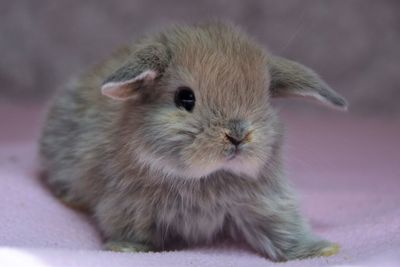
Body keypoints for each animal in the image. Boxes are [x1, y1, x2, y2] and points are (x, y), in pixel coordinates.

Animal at [40, 22, 346, 262]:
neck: (205, 177)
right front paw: (125, 249)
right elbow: (132, 230)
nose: (237, 135)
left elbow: (283, 229)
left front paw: (321, 250)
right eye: (185, 98)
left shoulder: (266, 204)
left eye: (265, 99)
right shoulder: (128, 206)